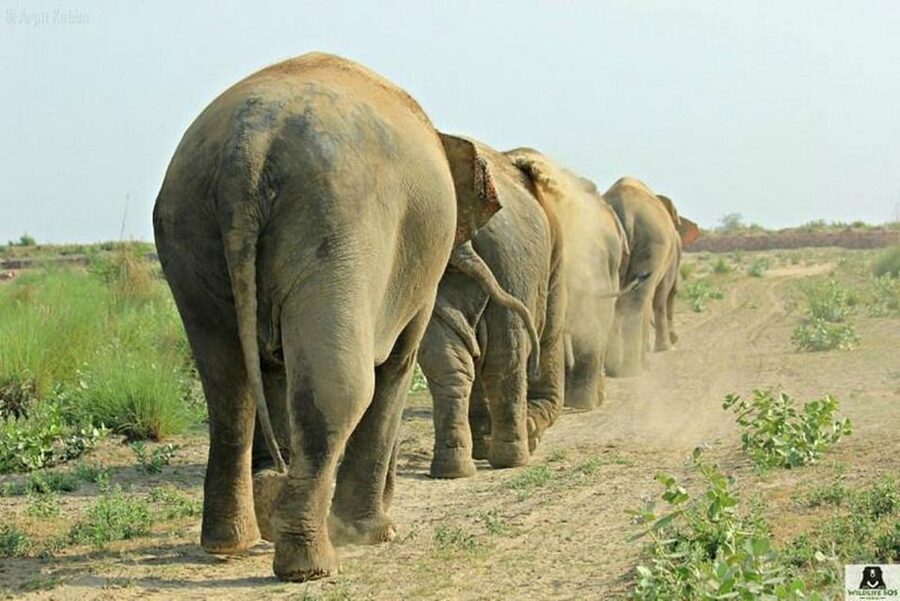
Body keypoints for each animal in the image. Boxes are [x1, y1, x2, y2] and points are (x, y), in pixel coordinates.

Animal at [152, 52, 522, 582]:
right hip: (335, 228)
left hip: (188, 228)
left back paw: (233, 540)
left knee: (228, 388)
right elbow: (395, 368)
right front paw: (377, 533)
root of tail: (246, 149)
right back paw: (309, 564)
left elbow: (273, 373)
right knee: (340, 388)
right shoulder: (418, 275)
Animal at [603, 177, 699, 377]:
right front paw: (666, 349)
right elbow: (662, 295)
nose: (676, 338)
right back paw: (632, 369)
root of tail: (625, 211)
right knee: (640, 300)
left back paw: (613, 369)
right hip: (653, 241)